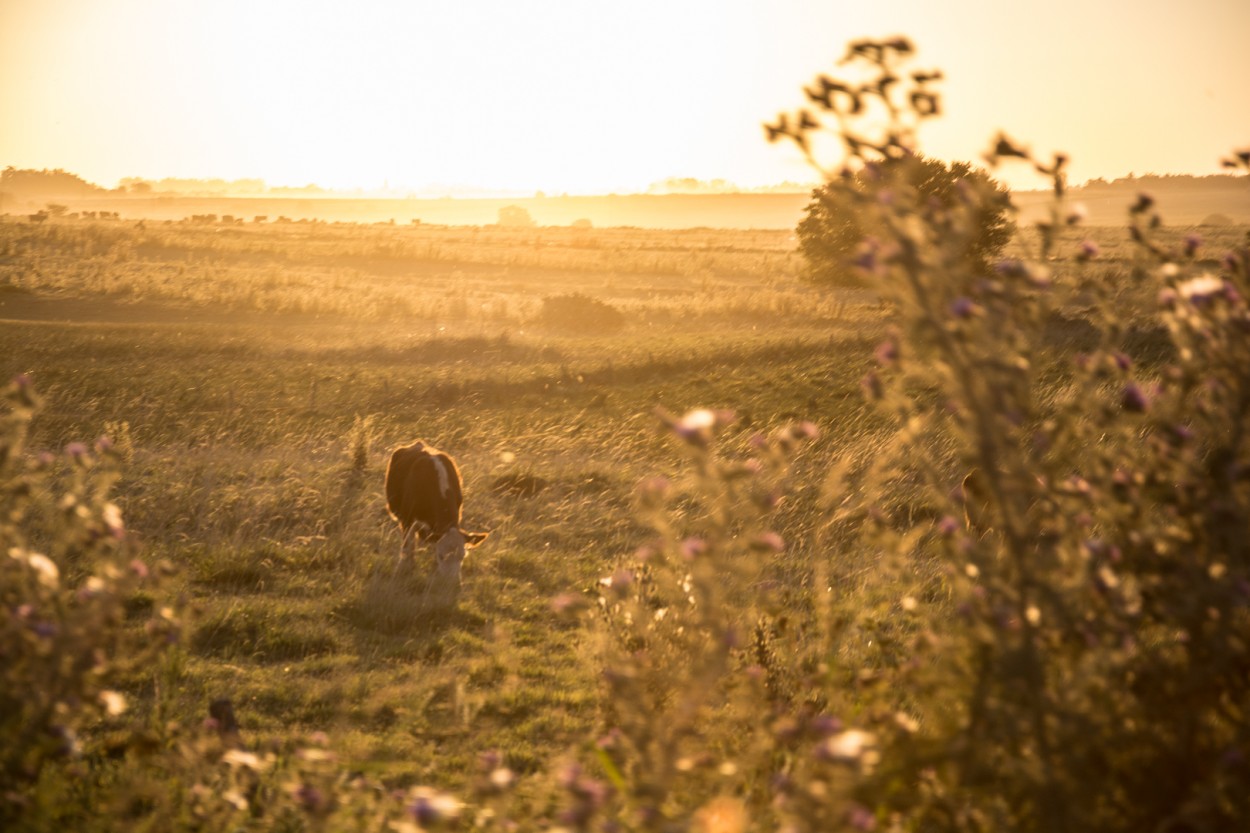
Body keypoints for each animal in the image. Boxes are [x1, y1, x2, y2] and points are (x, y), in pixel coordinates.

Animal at [385, 437, 487, 592]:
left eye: (463, 556)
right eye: (441, 556)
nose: (452, 584)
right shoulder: (407, 520)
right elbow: (408, 547)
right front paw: (406, 567)